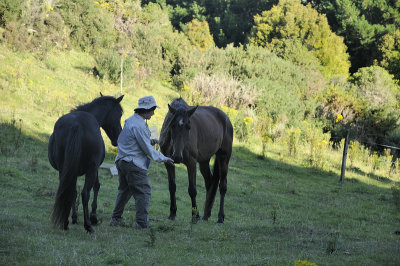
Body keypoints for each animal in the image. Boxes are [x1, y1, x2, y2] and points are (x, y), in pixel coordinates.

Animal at [48, 94, 123, 232]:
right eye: (120, 114)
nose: (118, 137)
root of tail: (76, 125)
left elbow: (73, 192)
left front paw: (74, 217)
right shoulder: (95, 167)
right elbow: (96, 186)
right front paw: (93, 217)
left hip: (64, 168)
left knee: (69, 190)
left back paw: (65, 222)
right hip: (91, 169)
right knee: (85, 193)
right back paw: (88, 225)